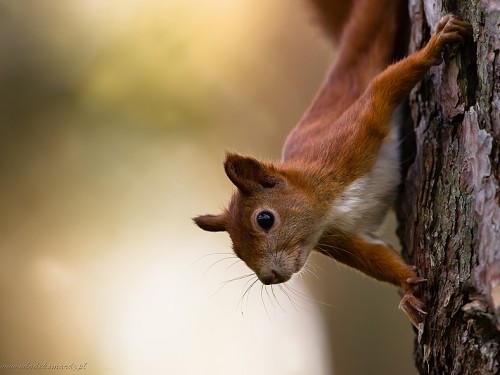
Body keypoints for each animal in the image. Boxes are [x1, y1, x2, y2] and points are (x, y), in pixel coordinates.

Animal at [191, 0, 468, 328]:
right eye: (235, 250)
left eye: (265, 219)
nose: (269, 277)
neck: (328, 204)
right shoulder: (341, 236)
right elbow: (377, 258)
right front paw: (409, 289)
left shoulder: (347, 139)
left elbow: (381, 88)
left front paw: (433, 48)